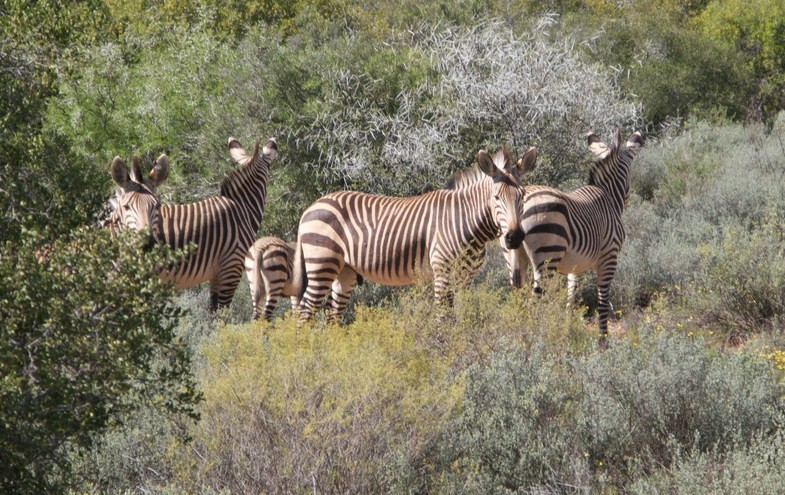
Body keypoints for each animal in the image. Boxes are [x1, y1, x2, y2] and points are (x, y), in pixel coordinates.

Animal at [110, 137, 278, 311]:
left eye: (157, 206)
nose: (146, 244)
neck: (242, 207)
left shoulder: (216, 274)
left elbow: (214, 310)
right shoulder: (232, 267)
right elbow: (224, 312)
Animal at [292, 146, 538, 323]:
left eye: (522, 195)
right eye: (496, 198)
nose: (514, 238)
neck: (465, 219)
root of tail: (310, 208)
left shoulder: (466, 277)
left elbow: (463, 314)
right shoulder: (443, 272)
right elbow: (444, 317)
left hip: (345, 271)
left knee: (332, 314)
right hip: (322, 263)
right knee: (305, 311)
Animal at [517, 129, 644, 338]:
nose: (628, 198)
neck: (608, 195)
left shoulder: (577, 266)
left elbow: (572, 299)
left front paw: (568, 332)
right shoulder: (609, 257)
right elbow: (602, 303)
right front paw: (603, 340)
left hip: (516, 257)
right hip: (547, 258)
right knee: (535, 304)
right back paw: (536, 340)